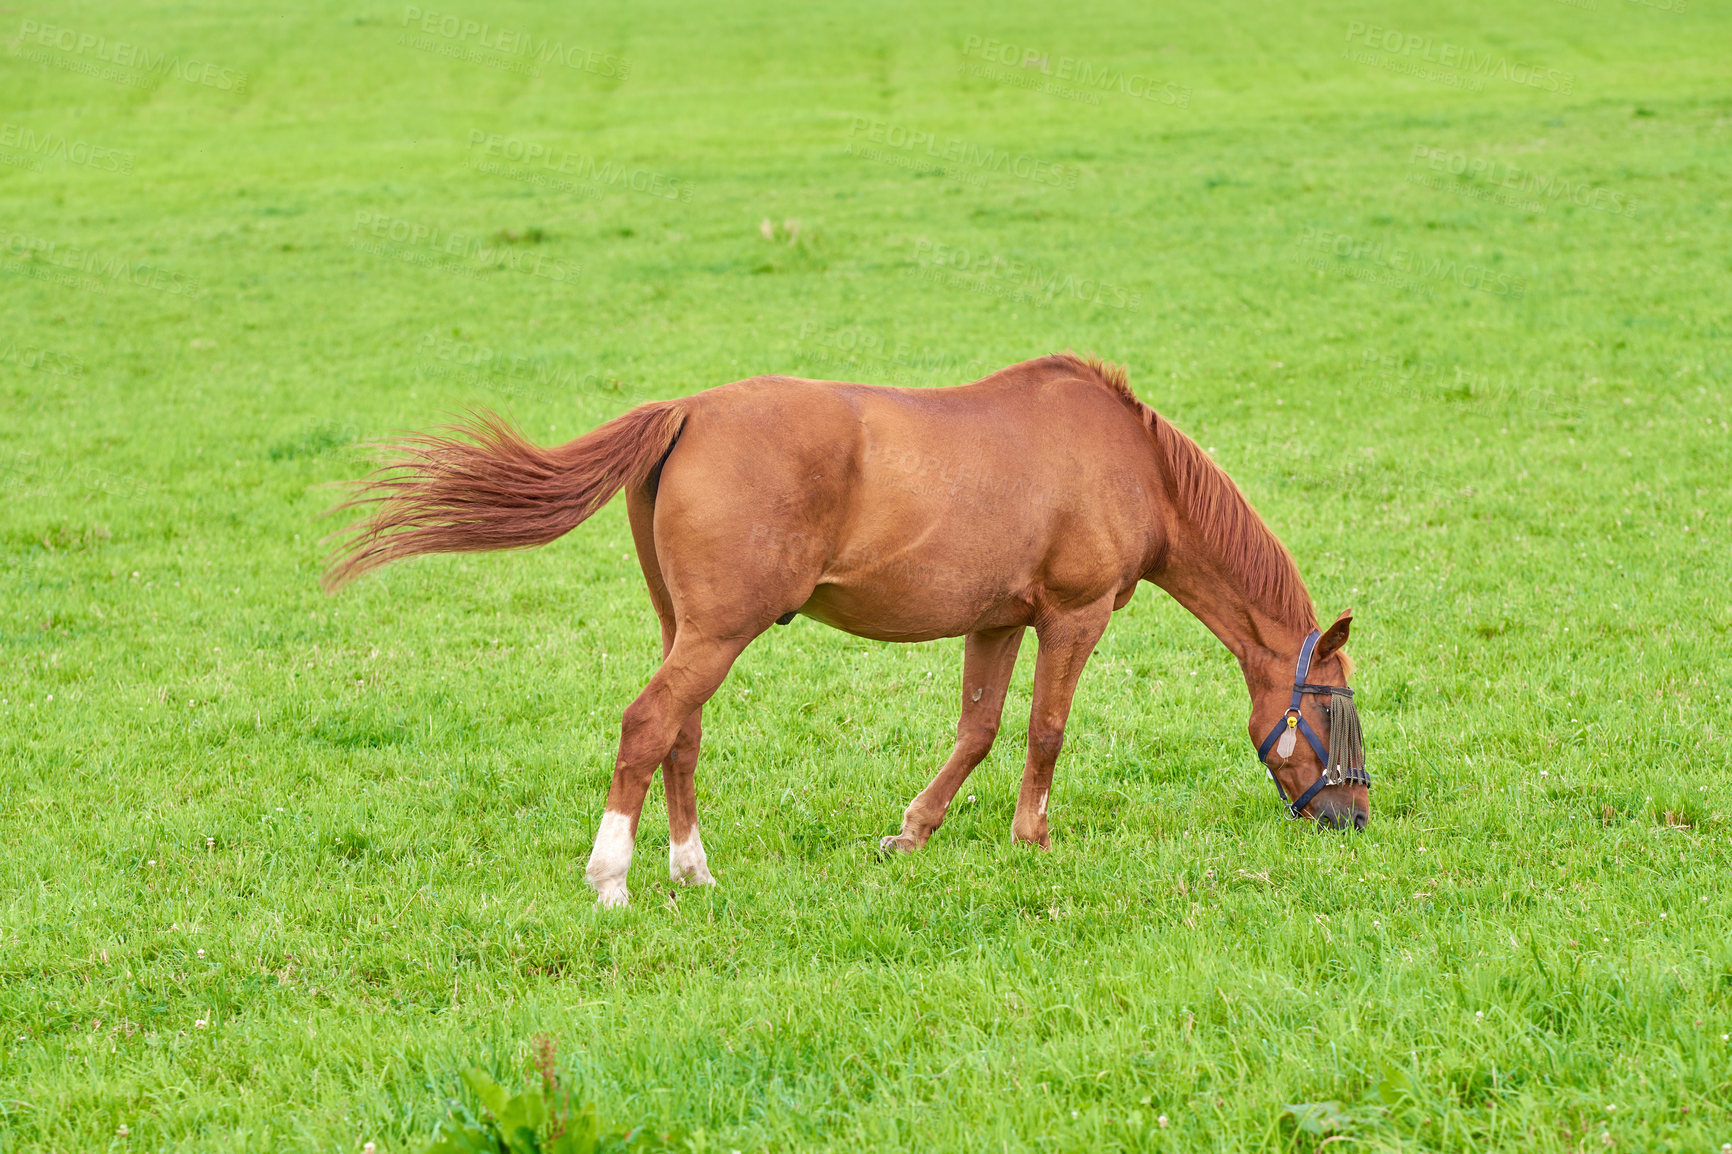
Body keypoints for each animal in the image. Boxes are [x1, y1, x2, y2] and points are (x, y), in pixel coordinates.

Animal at [325, 350, 1364, 901]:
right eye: (1337, 711)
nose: (1352, 818)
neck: (1131, 464)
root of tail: (686, 412)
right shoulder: (1072, 618)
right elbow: (1045, 730)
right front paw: (1031, 839)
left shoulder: (996, 623)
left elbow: (978, 729)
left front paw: (912, 834)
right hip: (719, 633)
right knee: (649, 724)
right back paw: (613, 874)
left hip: (688, 629)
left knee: (681, 734)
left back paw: (692, 869)